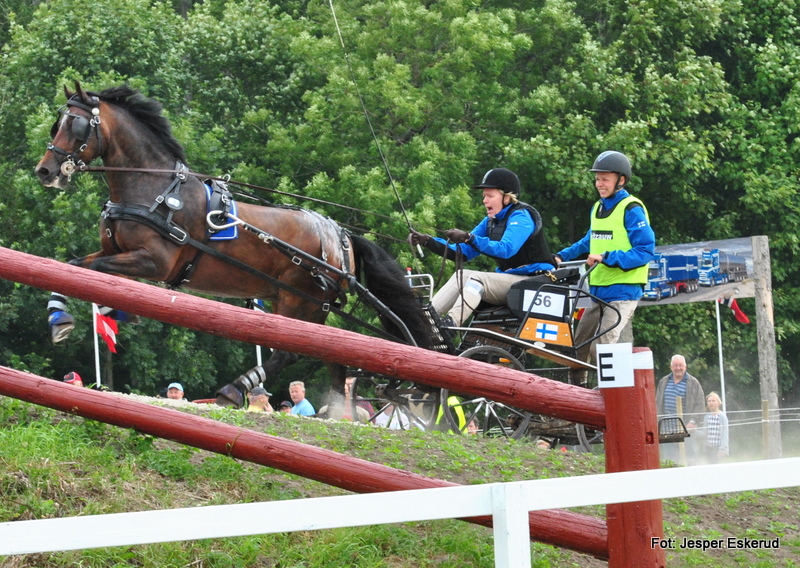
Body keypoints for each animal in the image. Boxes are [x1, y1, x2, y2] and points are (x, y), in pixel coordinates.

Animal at [34, 80, 434, 408]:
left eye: (75, 125)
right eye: (58, 123)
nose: (45, 171)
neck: (154, 186)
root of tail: (340, 236)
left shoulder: (155, 261)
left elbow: (94, 271)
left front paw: (99, 313)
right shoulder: (114, 251)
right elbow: (73, 267)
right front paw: (61, 316)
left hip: (303, 299)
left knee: (289, 354)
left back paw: (235, 389)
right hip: (296, 301)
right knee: (331, 355)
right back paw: (335, 414)